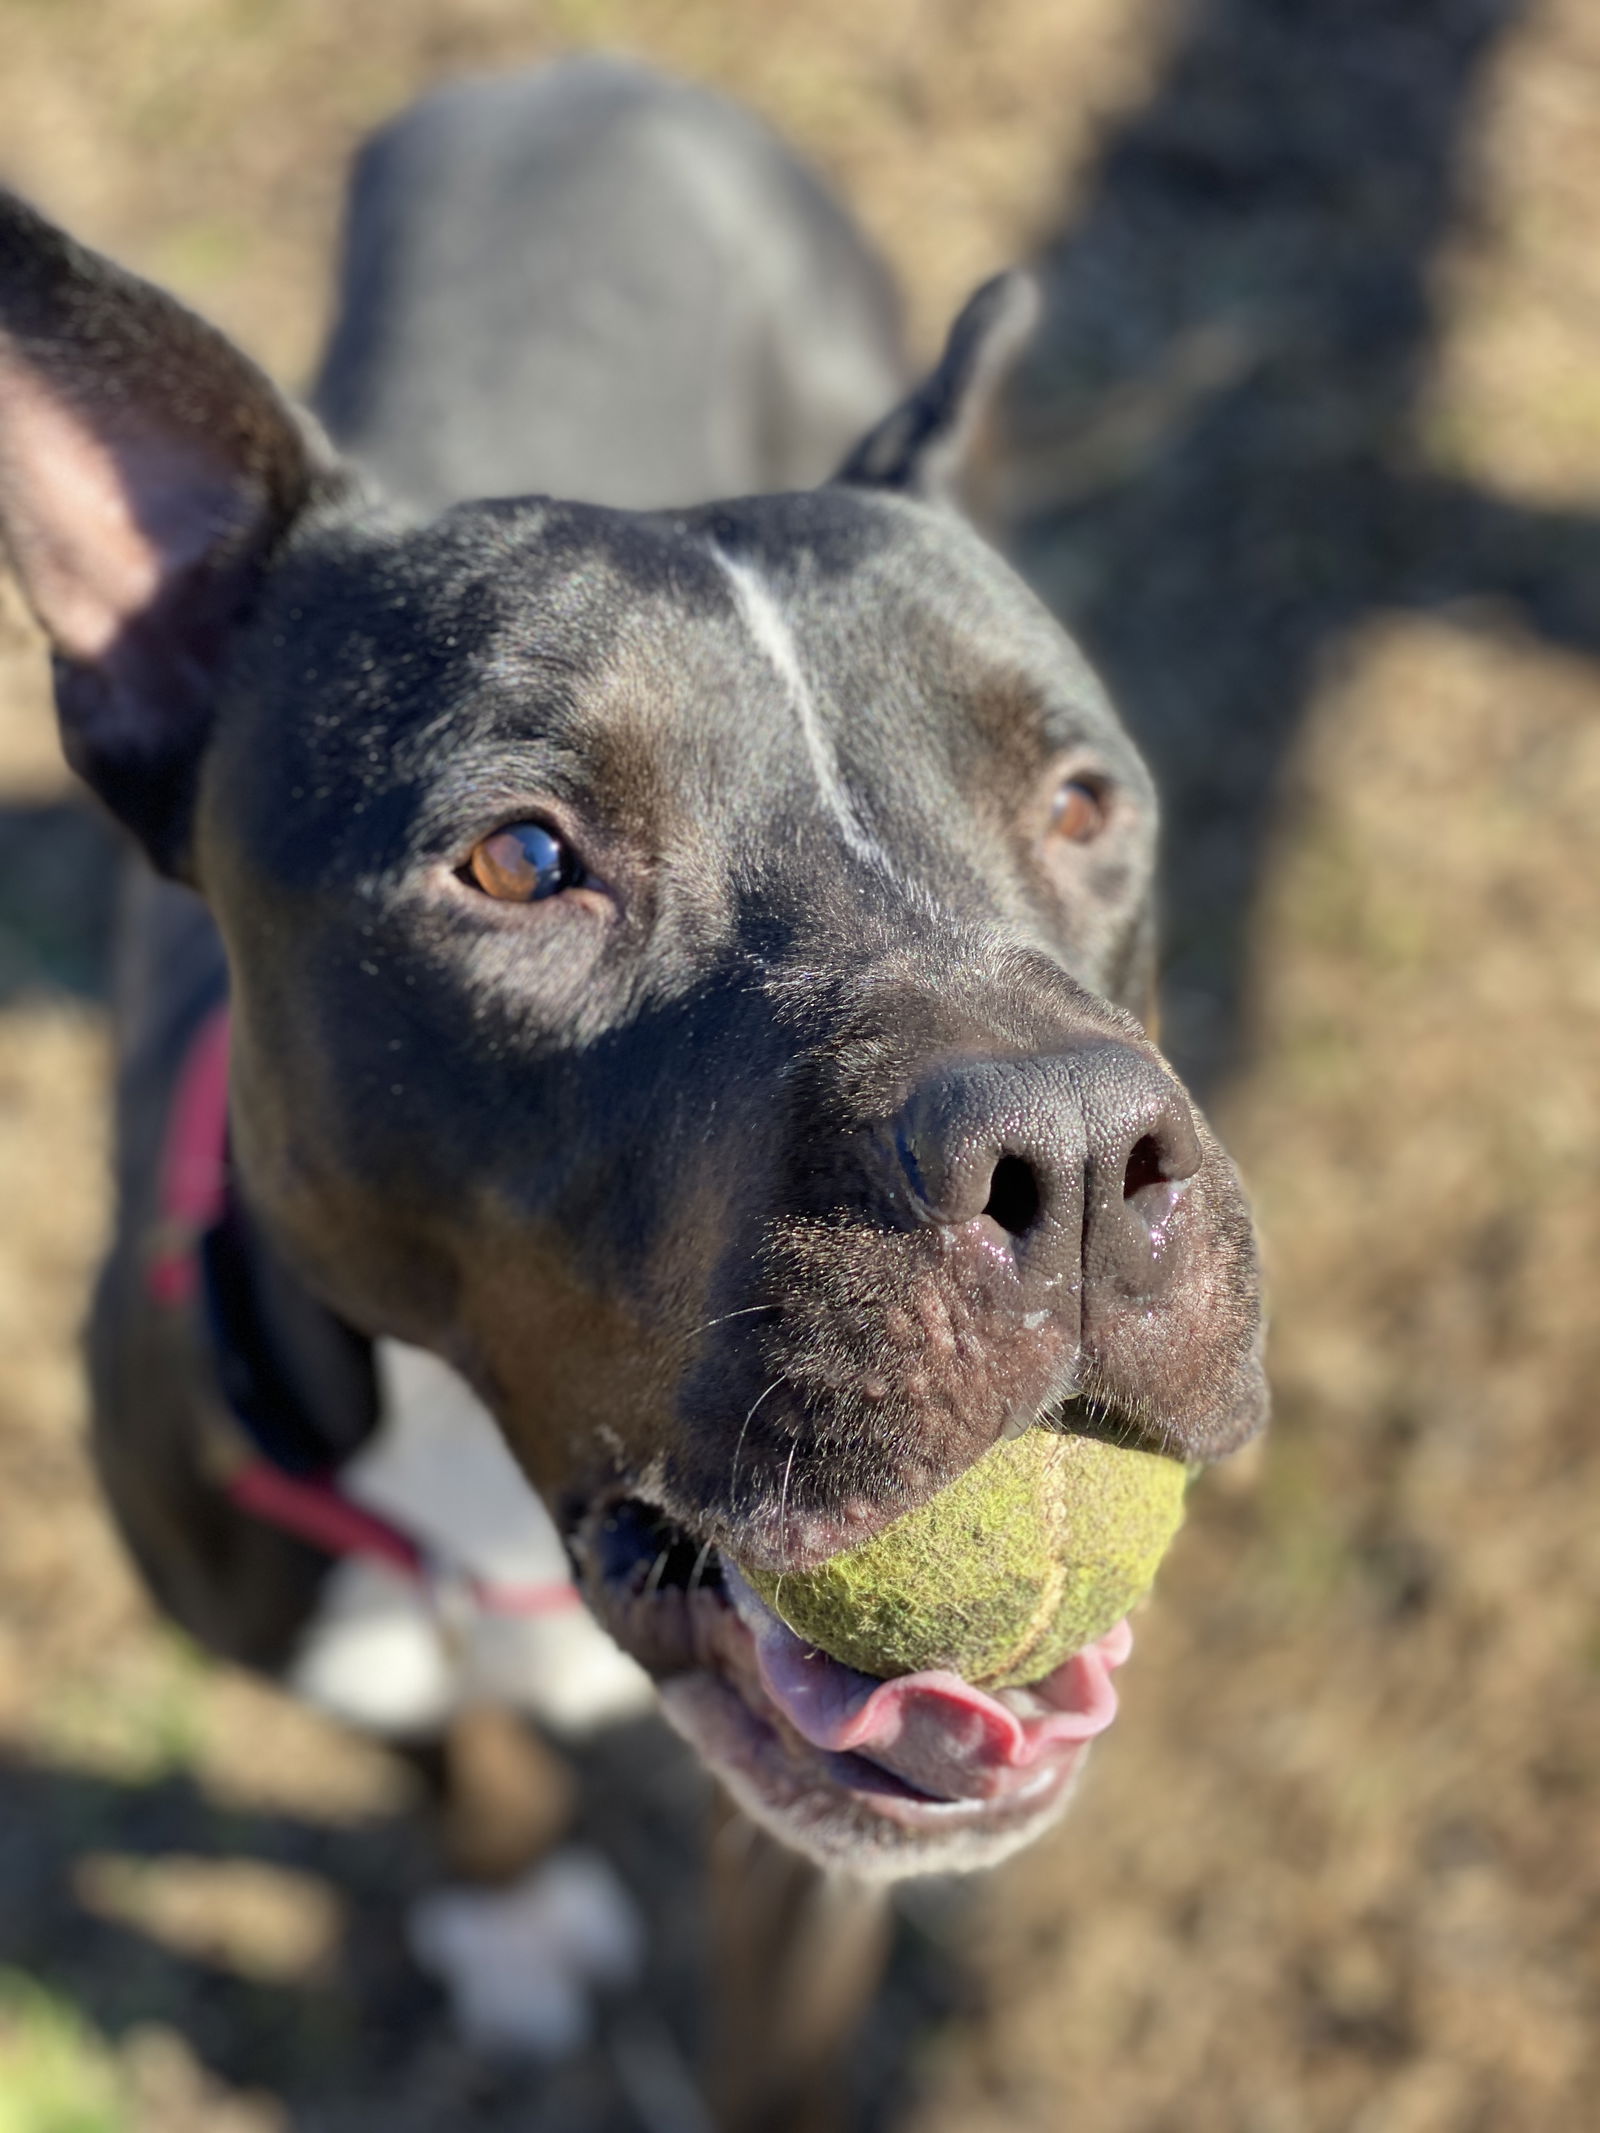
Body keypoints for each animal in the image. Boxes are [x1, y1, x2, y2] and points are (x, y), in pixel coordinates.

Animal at [3, 58, 1262, 2133]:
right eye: (521, 859)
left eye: (1083, 804)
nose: (1078, 1152)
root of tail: (577, 68)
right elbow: (455, 1754)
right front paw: (509, 1909)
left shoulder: (813, 1849)